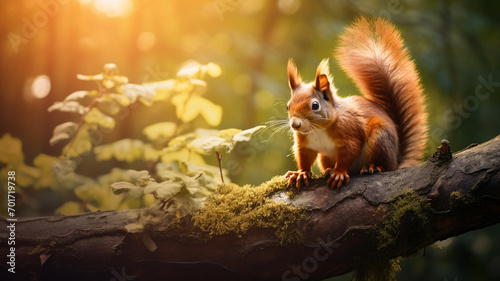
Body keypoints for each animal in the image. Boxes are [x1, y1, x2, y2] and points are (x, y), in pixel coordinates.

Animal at [284, 16, 428, 189]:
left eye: (315, 105)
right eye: (288, 106)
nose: (295, 124)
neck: (317, 130)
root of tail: (396, 160)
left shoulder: (349, 132)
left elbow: (348, 152)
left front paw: (339, 173)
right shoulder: (305, 144)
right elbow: (304, 157)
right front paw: (301, 173)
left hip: (379, 139)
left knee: (385, 165)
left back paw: (373, 167)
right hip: (327, 157)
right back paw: (329, 170)